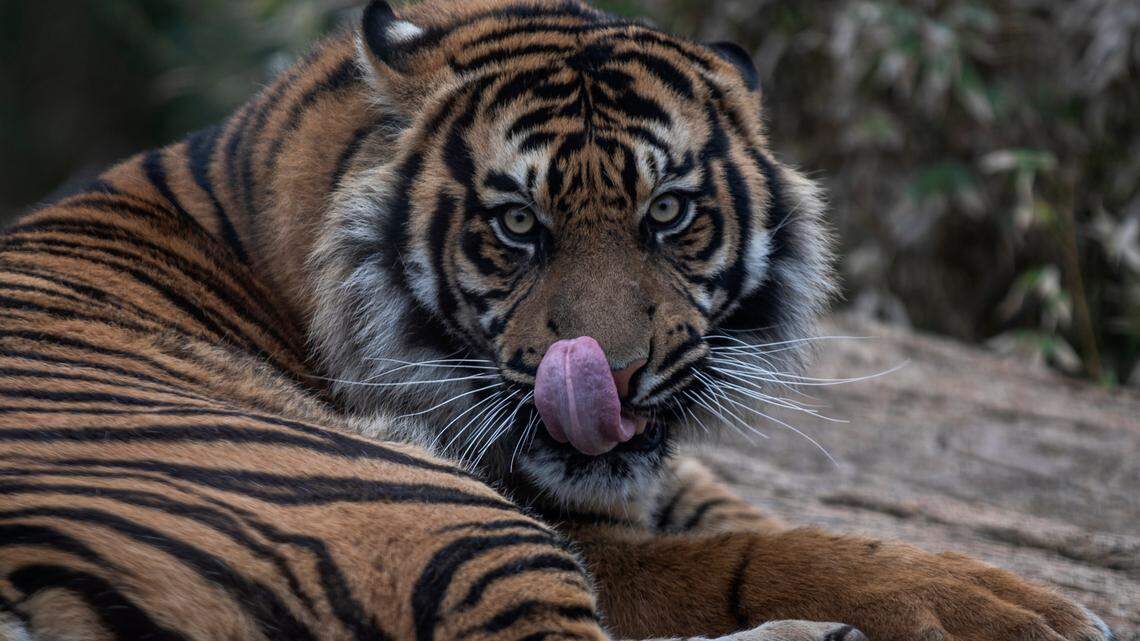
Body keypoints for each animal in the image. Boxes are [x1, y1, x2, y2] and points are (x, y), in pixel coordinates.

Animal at [0, 1, 1119, 640]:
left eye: (667, 213)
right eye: (515, 225)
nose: (608, 378)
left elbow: (747, 516)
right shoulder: (576, 535)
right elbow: (764, 555)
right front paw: (1018, 606)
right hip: (433, 512)